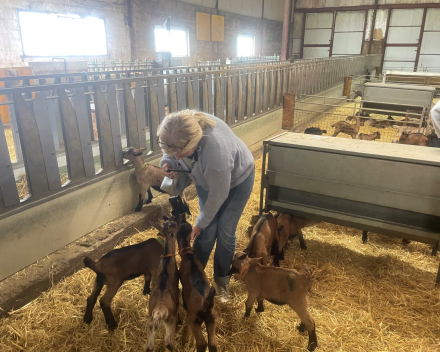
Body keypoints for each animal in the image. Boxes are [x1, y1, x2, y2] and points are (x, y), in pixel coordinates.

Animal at [144, 219, 179, 350]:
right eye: (173, 226)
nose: (177, 222)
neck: (166, 260)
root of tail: (159, 312)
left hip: (150, 322)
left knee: (149, 347)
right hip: (170, 322)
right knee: (169, 344)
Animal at [175, 219, 217, 350]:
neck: (189, 256)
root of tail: (205, 303)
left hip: (193, 320)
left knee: (202, 344)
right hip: (211, 317)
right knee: (212, 344)